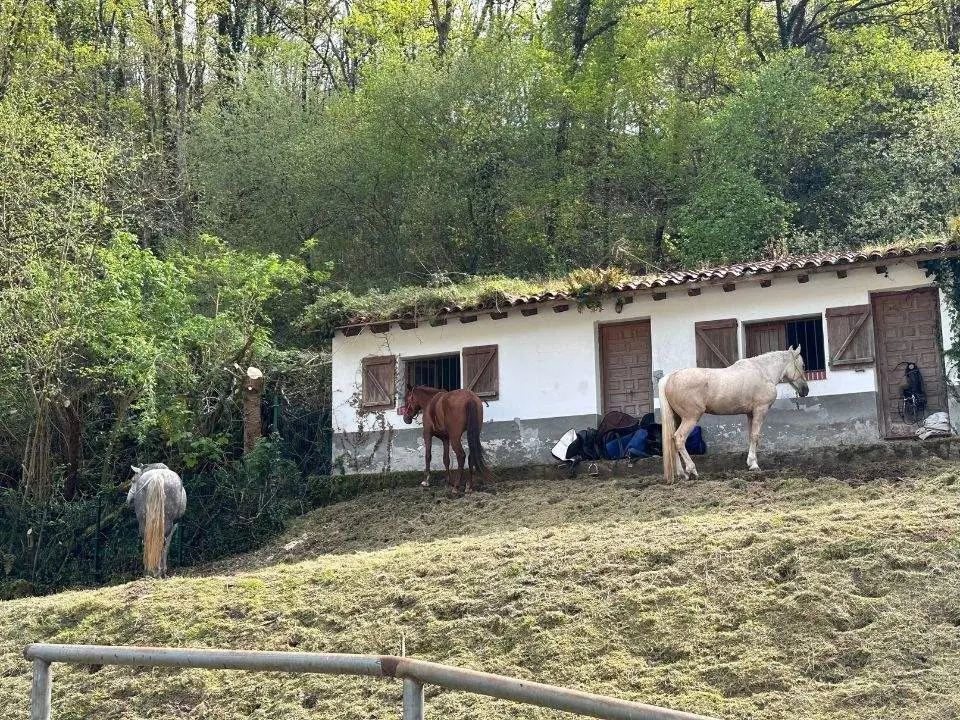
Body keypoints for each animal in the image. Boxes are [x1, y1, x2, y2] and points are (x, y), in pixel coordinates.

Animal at [659, 347, 810, 482]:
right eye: (802, 365)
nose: (805, 390)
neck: (763, 371)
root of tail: (671, 377)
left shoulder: (750, 414)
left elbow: (751, 437)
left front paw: (751, 462)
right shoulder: (760, 410)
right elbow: (755, 436)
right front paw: (754, 465)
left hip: (677, 418)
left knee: (672, 440)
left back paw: (682, 473)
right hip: (690, 418)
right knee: (679, 438)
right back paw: (692, 470)